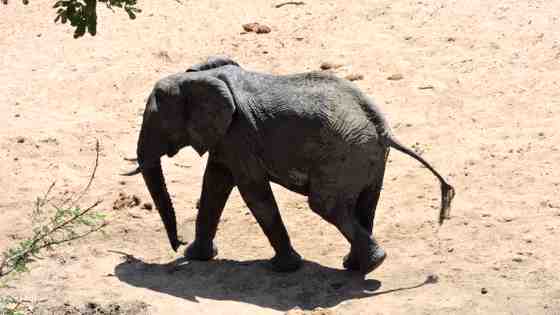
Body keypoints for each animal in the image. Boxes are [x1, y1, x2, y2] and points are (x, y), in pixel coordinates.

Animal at [123, 56, 456, 274]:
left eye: (156, 121)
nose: (176, 245)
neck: (200, 76)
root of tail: (383, 128)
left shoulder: (238, 135)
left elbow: (251, 191)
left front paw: (284, 268)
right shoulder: (227, 140)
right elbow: (215, 184)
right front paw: (197, 256)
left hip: (343, 157)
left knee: (326, 206)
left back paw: (370, 264)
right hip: (368, 159)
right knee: (365, 202)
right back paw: (358, 266)